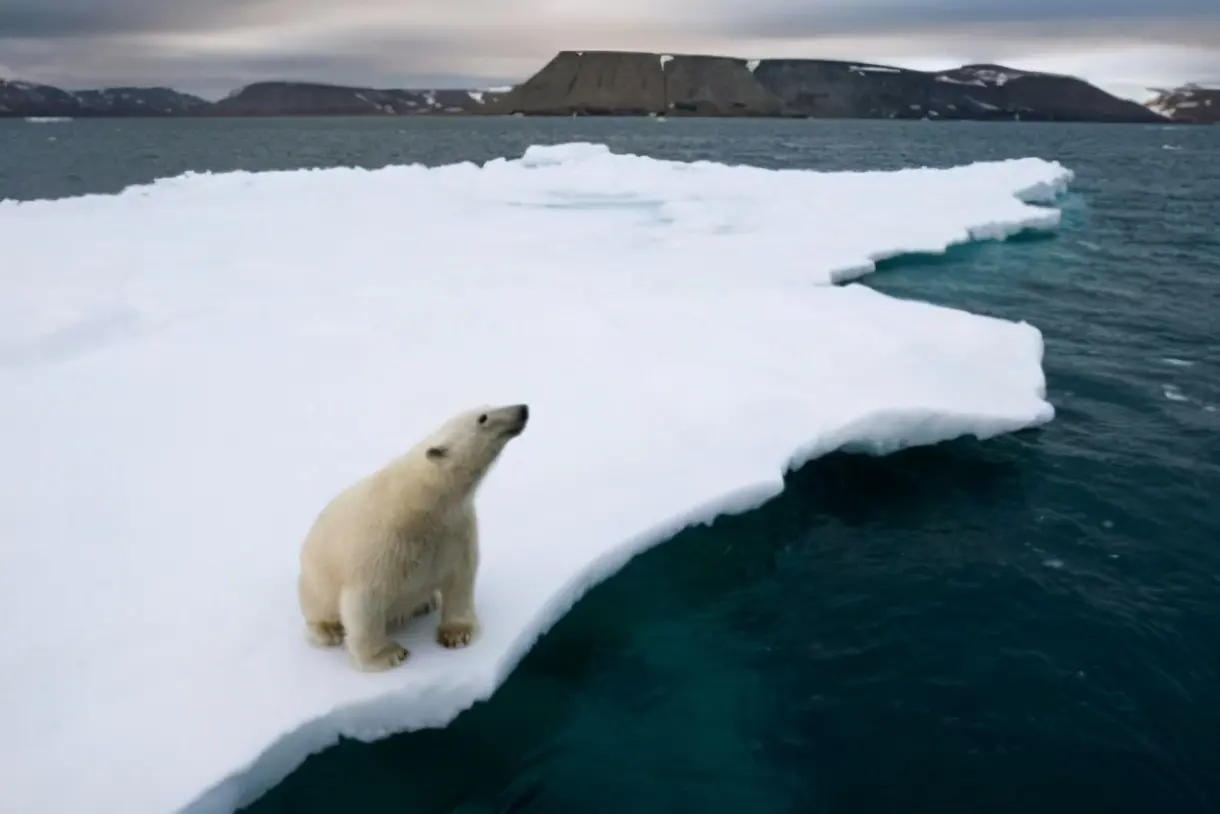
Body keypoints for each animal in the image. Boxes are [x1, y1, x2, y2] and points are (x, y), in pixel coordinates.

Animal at [298, 405, 529, 673]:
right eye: (482, 418)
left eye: (487, 406)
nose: (523, 409)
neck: (423, 503)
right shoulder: (383, 542)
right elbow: (365, 600)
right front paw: (388, 655)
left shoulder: (456, 529)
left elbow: (460, 577)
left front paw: (456, 634)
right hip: (314, 583)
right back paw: (329, 630)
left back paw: (425, 603)